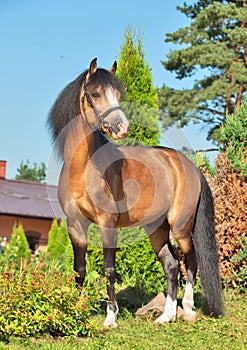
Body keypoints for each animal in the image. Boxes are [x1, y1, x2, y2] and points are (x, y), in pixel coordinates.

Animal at [47, 58, 223, 328]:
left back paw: (188, 310)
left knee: (190, 261)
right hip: (156, 228)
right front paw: (75, 311)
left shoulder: (107, 224)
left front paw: (111, 318)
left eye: (118, 94)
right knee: (172, 265)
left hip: (180, 227)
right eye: (95, 94)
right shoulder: (75, 225)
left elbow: (109, 270)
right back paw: (166, 316)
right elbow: (79, 269)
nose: (122, 127)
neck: (83, 169)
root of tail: (189, 166)